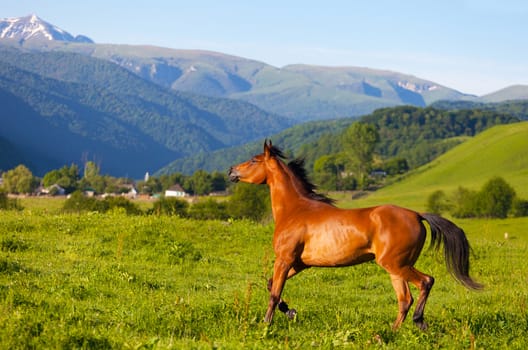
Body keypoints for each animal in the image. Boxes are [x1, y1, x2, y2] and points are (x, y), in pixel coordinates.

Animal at [227, 139, 482, 328]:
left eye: (254, 160)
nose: (231, 171)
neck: (295, 210)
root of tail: (416, 215)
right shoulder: (300, 263)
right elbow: (272, 285)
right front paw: (290, 311)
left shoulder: (285, 259)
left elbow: (274, 292)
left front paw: (266, 323)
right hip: (397, 267)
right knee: (404, 299)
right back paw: (392, 332)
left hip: (395, 264)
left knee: (426, 282)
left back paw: (418, 322)